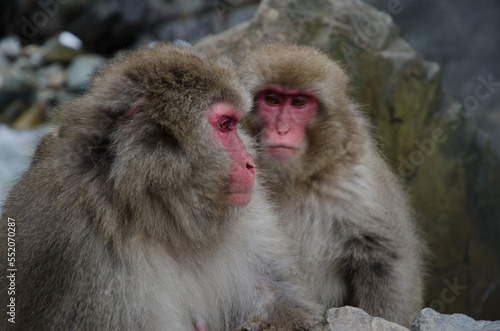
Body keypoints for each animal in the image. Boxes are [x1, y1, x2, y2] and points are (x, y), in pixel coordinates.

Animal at [238, 43, 426, 326]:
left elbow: (385, 261)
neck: (291, 180)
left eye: (299, 103)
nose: (282, 129)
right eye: (271, 100)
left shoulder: (359, 183)